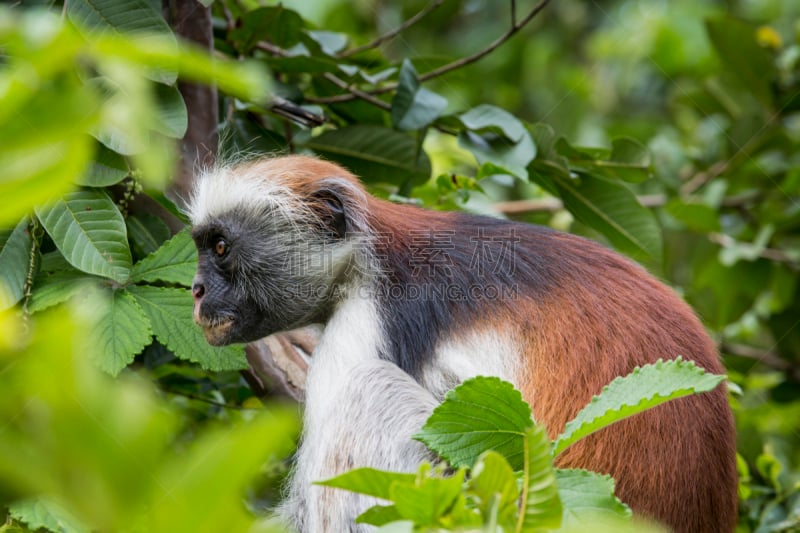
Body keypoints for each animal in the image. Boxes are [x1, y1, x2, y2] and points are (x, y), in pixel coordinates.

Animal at [188, 156, 736, 532]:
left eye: (221, 247)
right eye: (202, 247)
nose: (195, 290)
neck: (375, 258)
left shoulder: (365, 324)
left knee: (367, 390)